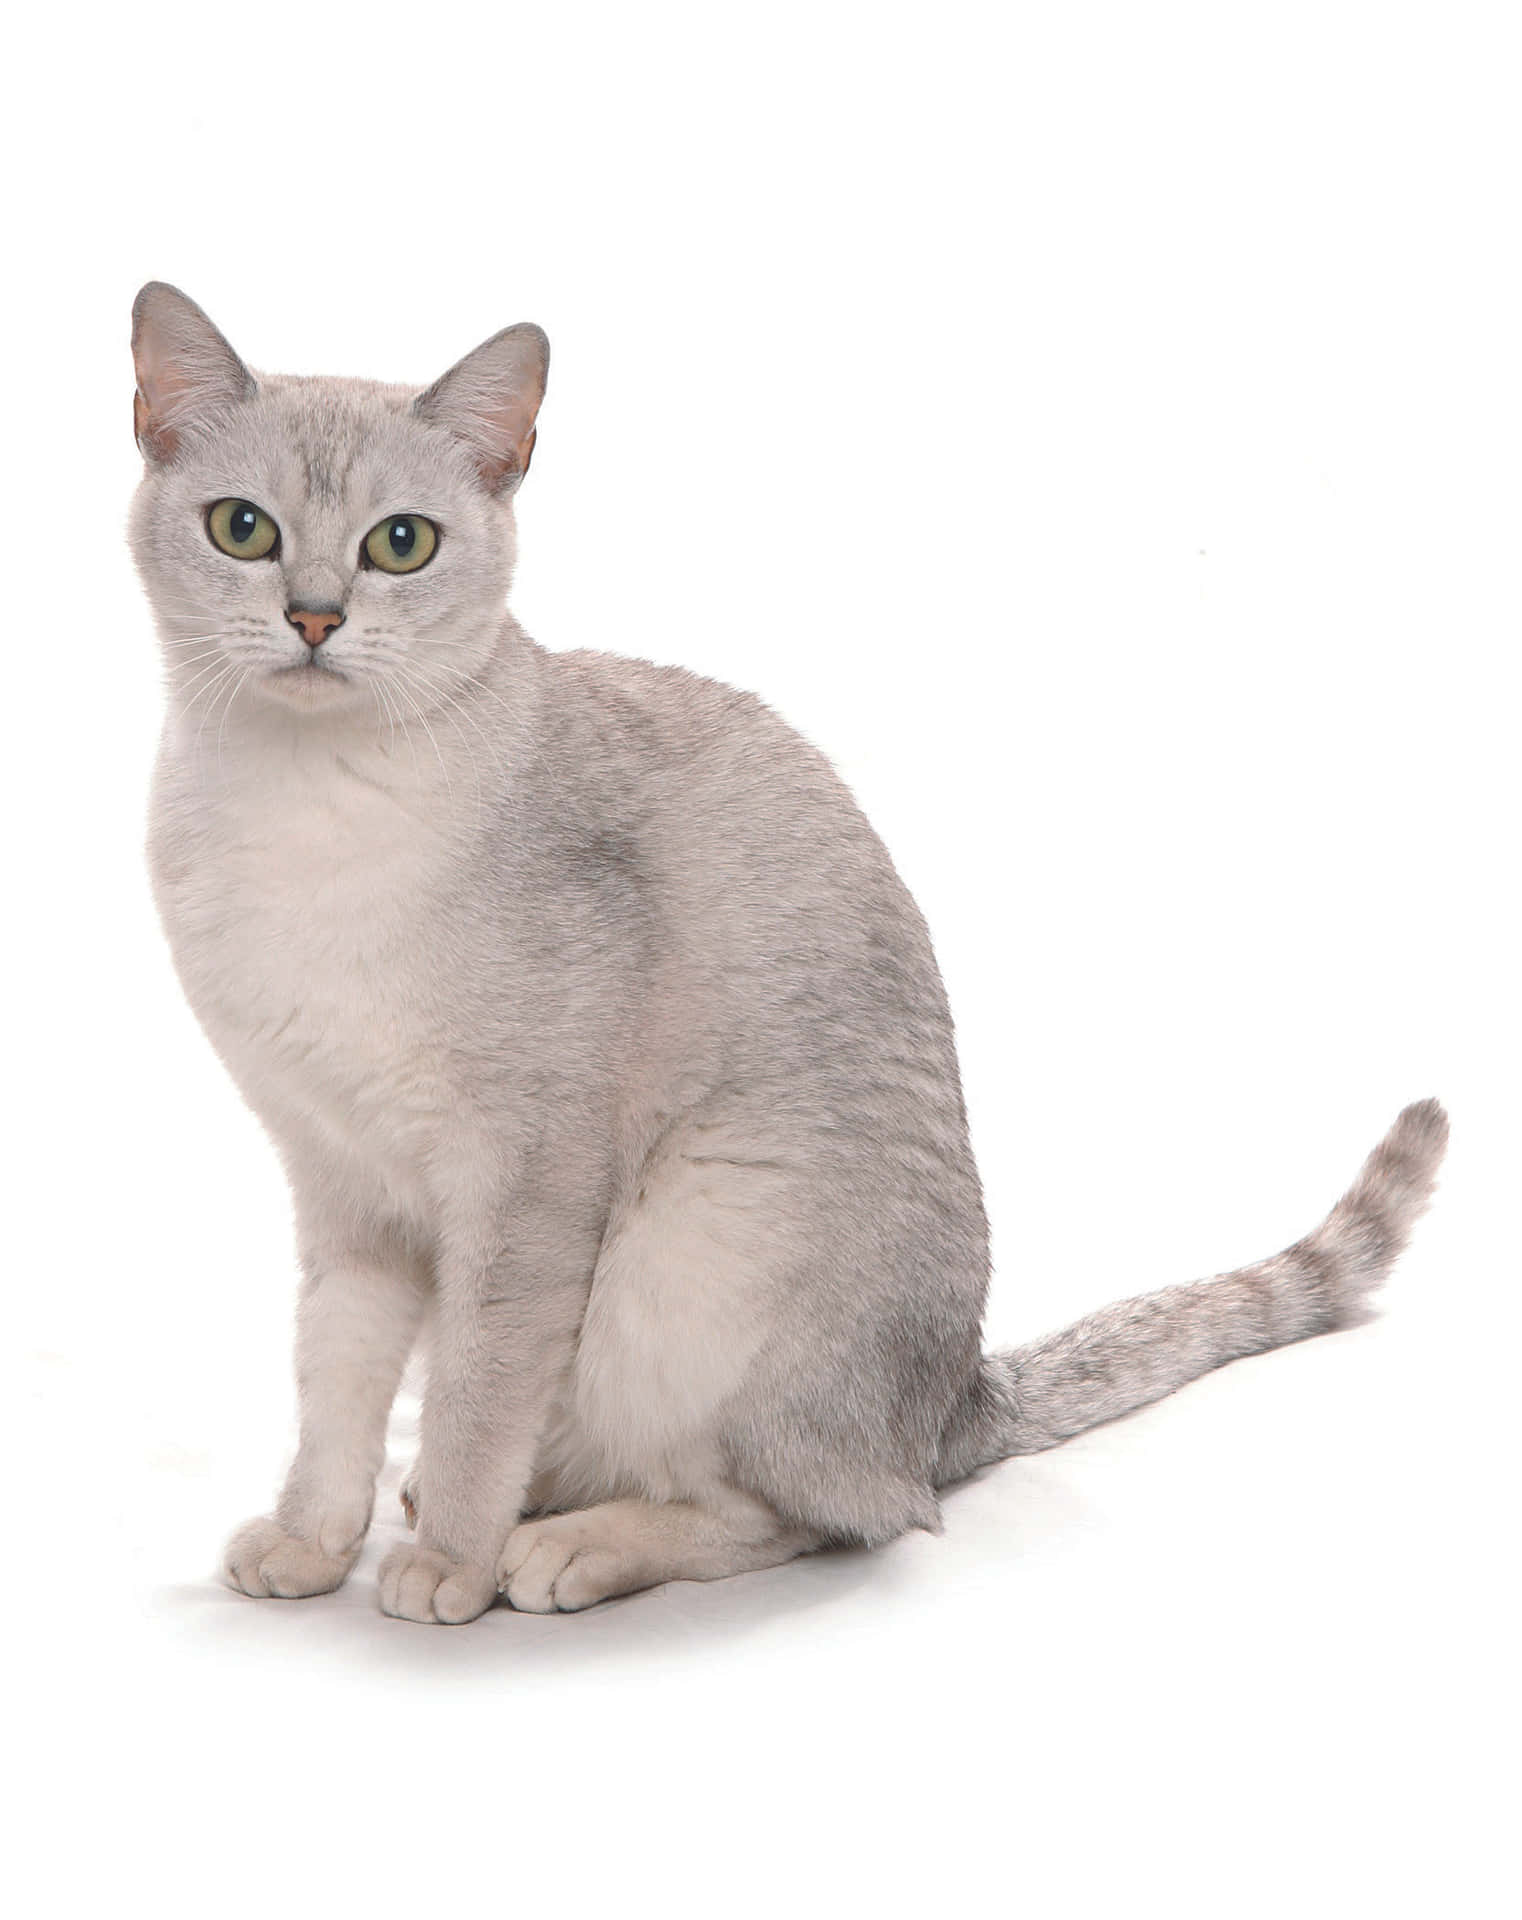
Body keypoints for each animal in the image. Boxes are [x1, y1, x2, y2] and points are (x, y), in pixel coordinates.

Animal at [124, 284, 1443, 1628]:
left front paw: (448, 1560)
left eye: (401, 545)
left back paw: (562, 1547)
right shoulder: (340, 1180)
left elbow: (478, 1397)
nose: (315, 618)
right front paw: (311, 1543)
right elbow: (335, 1389)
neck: (305, 818)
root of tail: (954, 1400)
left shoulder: (524, 1179)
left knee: (825, 1515)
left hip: (699, 1230)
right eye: (243, 530)